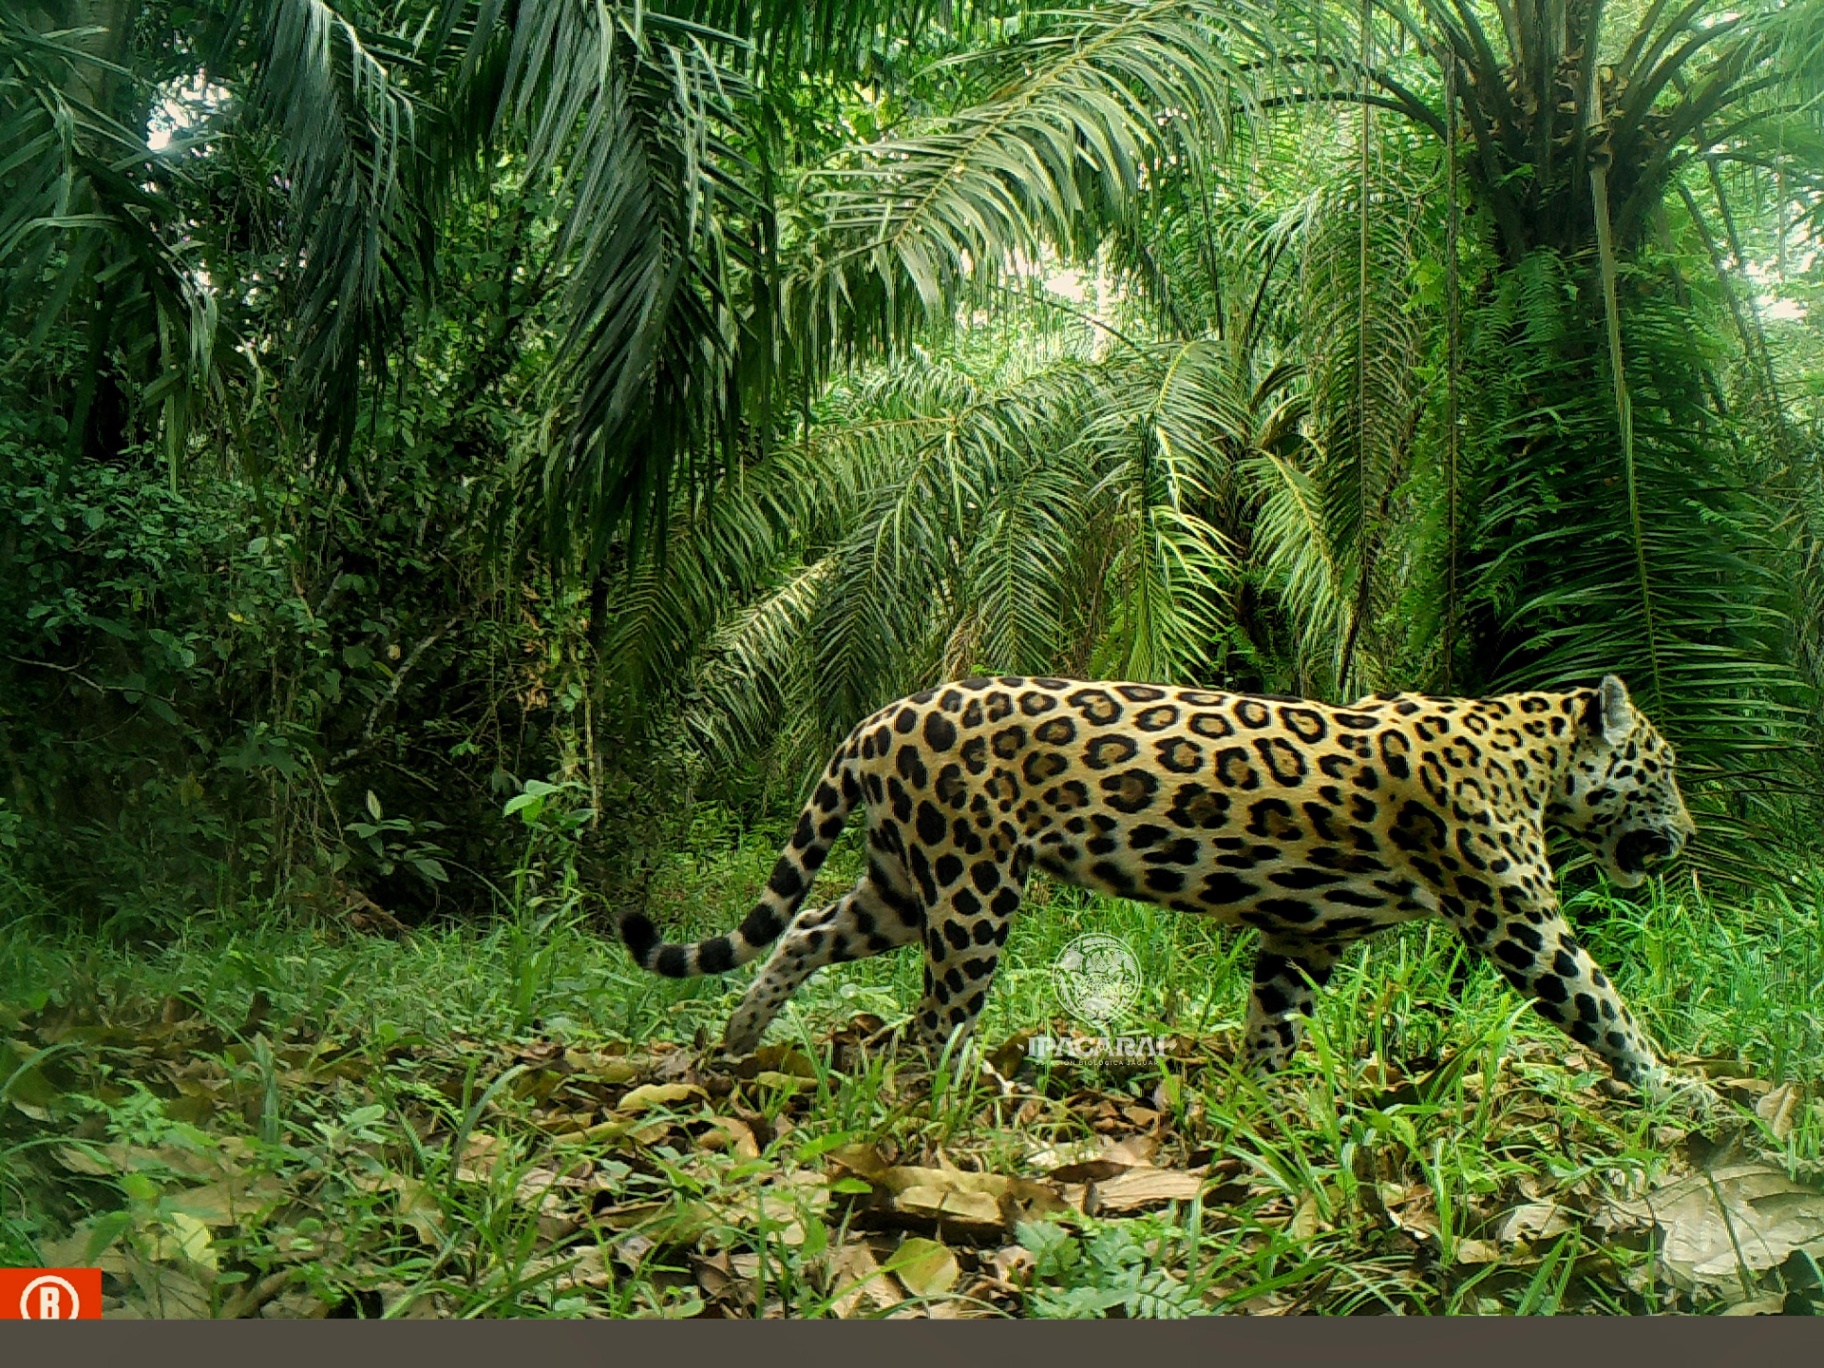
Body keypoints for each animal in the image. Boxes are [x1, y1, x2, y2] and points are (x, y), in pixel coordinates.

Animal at [620, 673, 1697, 1095]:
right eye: (1666, 766)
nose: (1687, 835)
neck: (1535, 751)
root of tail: (882, 715)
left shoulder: (1303, 934)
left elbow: (1276, 1022)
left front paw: (1268, 1110)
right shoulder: (1519, 920)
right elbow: (1605, 1004)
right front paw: (1678, 1095)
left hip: (901, 882)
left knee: (806, 931)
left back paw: (740, 1035)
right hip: (973, 884)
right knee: (930, 1021)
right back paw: (948, 1103)